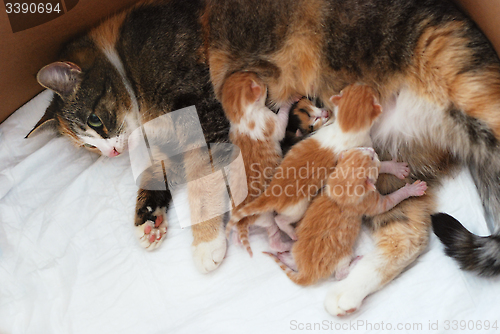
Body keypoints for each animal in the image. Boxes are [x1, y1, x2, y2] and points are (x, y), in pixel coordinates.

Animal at [221, 71, 292, 256]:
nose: (263, 79)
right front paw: (289, 101)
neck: (241, 118)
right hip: (266, 217)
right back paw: (286, 246)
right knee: (273, 236)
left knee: (235, 233)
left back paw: (236, 239)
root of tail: (242, 221)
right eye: (260, 81)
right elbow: (281, 122)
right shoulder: (267, 119)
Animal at [266, 147, 426, 286]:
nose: (372, 149)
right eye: (371, 157)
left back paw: (284, 255)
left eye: (361, 149)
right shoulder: (368, 202)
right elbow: (388, 202)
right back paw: (353, 263)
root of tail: (306, 272)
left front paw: (394, 167)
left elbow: (382, 166)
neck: (342, 186)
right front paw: (411, 190)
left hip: (297, 247)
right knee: (339, 275)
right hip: (342, 256)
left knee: (292, 257)